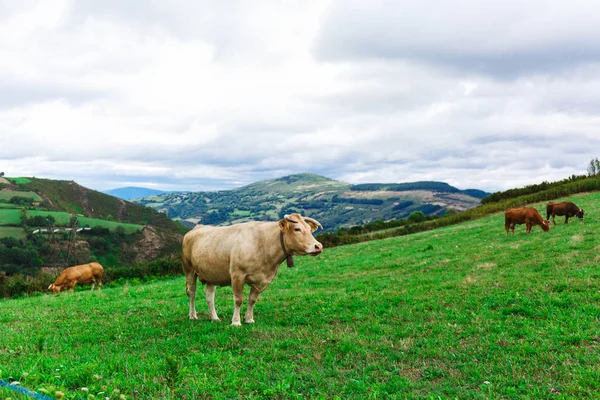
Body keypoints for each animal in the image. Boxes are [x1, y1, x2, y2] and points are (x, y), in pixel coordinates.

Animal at [182, 212, 324, 324]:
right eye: (297, 229)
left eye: (309, 229)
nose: (318, 246)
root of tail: (196, 228)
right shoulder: (237, 275)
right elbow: (238, 300)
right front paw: (236, 322)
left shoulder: (262, 279)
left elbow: (252, 300)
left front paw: (249, 319)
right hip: (189, 270)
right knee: (192, 293)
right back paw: (193, 316)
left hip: (212, 273)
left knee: (209, 296)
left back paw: (214, 318)